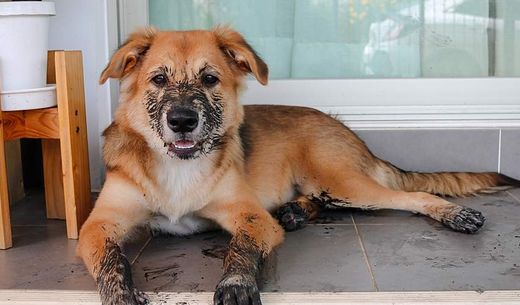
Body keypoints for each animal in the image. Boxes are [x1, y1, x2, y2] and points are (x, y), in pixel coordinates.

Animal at [77, 26, 520, 304]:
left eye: (209, 79)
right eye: (158, 79)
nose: (182, 120)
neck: (177, 168)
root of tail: (346, 129)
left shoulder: (250, 216)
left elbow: (240, 248)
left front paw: (236, 282)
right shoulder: (99, 225)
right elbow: (112, 261)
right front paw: (120, 295)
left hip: (341, 180)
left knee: (412, 194)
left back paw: (455, 214)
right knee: (325, 202)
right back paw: (295, 211)